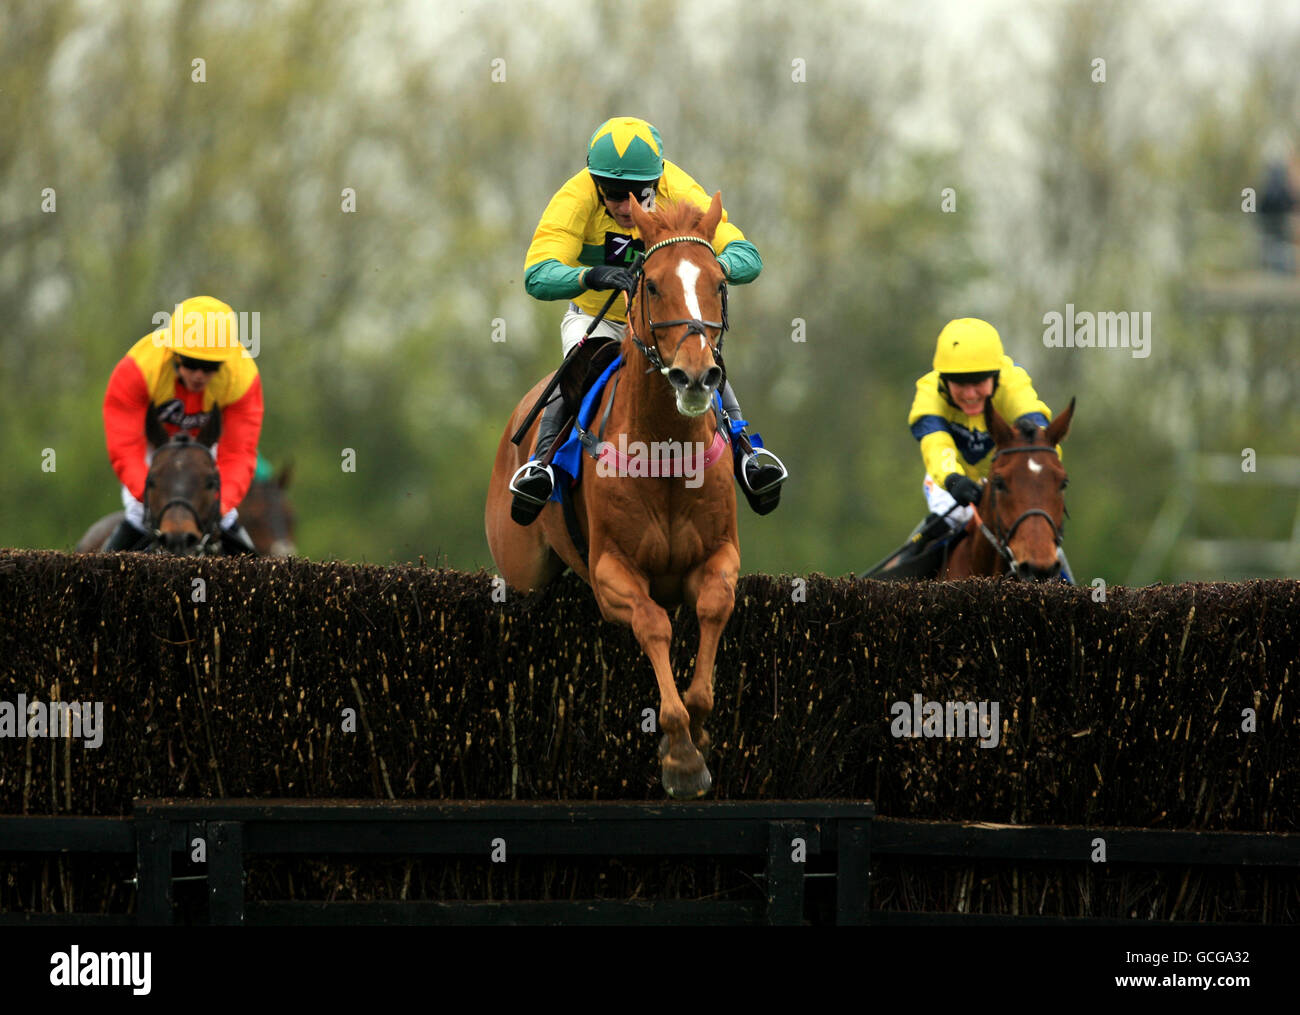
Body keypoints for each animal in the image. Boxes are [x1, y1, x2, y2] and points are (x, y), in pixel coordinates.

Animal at [486, 193, 740, 799]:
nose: (696, 377)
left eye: (719, 282)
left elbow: (713, 607)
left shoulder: (720, 554)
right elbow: (652, 622)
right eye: (651, 285)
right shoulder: (610, 571)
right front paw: (681, 756)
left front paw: (698, 731)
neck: (667, 455)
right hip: (522, 566)